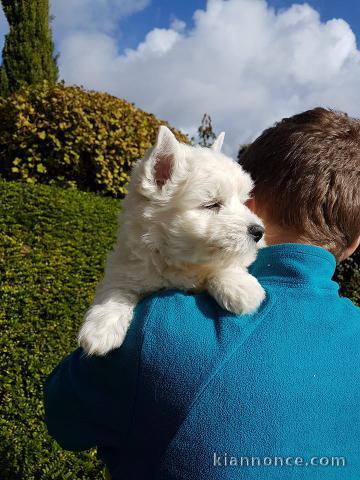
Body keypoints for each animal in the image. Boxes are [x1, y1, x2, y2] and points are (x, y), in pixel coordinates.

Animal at [78, 125, 264, 354]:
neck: (176, 260)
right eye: (212, 204)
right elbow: (116, 289)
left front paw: (240, 288)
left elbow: (227, 262)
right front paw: (100, 329)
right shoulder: (126, 264)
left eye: (243, 201)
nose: (258, 231)